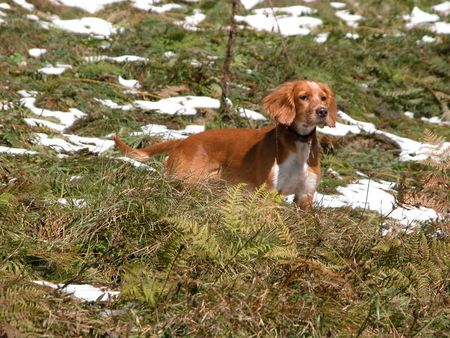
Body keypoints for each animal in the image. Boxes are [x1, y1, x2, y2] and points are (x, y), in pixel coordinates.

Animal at [114, 81, 336, 209]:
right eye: (303, 97)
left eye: (323, 97)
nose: (323, 111)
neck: (298, 141)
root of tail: (184, 141)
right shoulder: (268, 194)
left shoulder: (305, 196)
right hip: (186, 182)